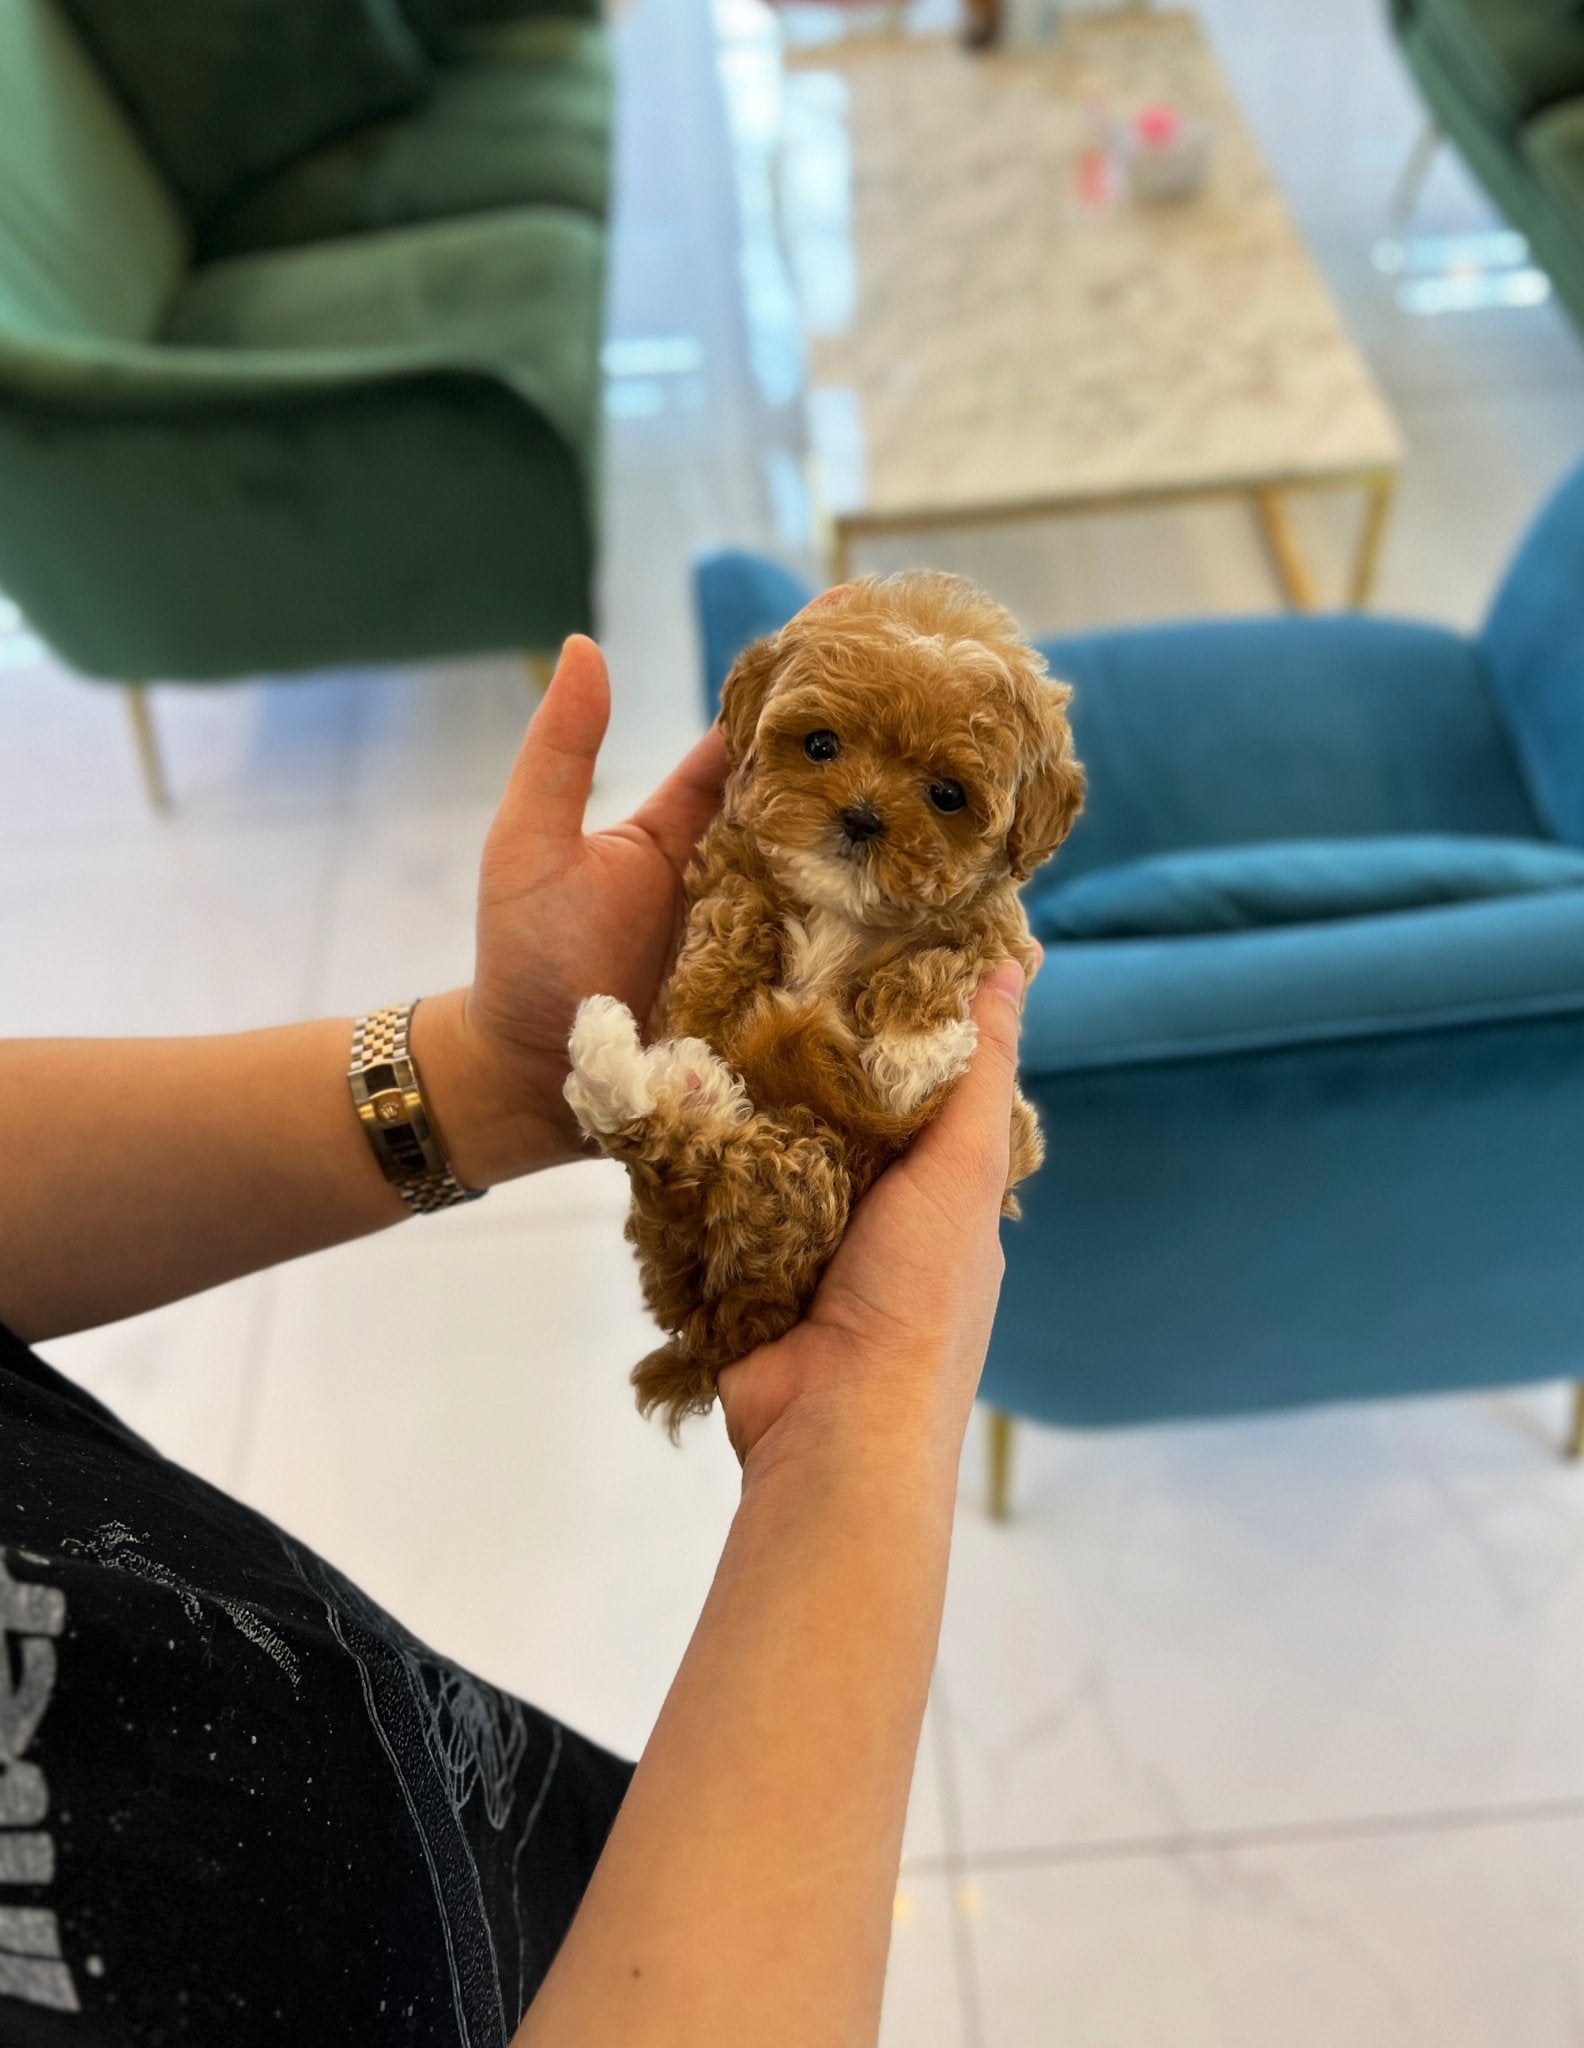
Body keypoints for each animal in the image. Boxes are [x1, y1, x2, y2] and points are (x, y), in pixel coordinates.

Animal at [561, 569, 1081, 1433]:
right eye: (821, 746)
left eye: (947, 794)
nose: (862, 817)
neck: (846, 911)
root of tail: (709, 1329)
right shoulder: (730, 871)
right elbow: (733, 921)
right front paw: (721, 984)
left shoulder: (997, 942)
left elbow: (946, 961)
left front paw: (914, 1043)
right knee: (687, 1155)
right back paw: (638, 1068)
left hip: (811, 1176)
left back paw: (660, 1078)